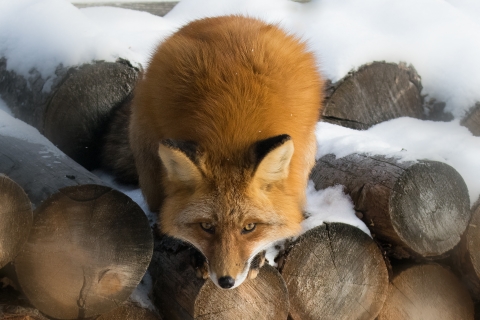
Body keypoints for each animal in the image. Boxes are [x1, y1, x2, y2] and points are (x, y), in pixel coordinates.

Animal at [129, 15, 324, 290]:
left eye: (250, 227)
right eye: (206, 226)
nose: (226, 281)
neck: (231, 134)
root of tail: (228, 17)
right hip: (149, 168)